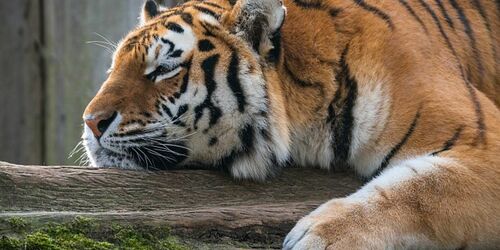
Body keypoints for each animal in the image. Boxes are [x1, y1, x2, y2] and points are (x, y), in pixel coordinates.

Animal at [82, 0, 500, 248]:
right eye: (113, 67)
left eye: (164, 68)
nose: (90, 122)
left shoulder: (483, 144)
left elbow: (416, 189)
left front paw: (316, 237)